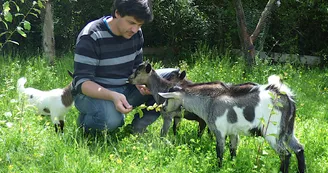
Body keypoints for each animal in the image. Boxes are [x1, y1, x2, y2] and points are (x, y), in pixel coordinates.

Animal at [159, 75, 304, 173]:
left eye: (168, 99)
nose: (163, 108)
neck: (210, 101)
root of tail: (285, 96)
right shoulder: (233, 132)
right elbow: (233, 150)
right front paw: (232, 166)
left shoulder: (219, 131)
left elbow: (220, 152)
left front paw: (219, 168)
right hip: (287, 131)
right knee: (299, 149)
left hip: (272, 133)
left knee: (285, 155)